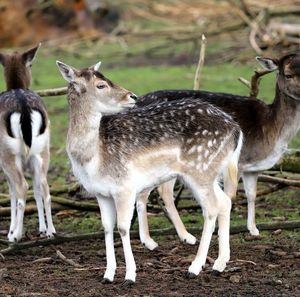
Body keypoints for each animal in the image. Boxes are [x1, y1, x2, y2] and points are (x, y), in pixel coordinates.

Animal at [0, 45, 55, 242]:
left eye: (30, 64)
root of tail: (23, 107)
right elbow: (37, 192)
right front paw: (42, 229)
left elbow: (11, 192)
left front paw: (10, 231)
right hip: (42, 152)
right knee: (44, 188)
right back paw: (51, 231)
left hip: (9, 155)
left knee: (22, 187)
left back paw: (16, 235)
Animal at [56, 59, 244, 282]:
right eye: (101, 85)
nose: (132, 96)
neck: (93, 158)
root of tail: (236, 130)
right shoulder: (100, 192)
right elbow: (107, 228)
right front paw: (108, 274)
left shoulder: (125, 187)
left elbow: (123, 228)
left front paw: (130, 275)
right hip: (210, 172)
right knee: (224, 202)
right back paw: (219, 263)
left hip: (200, 170)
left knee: (212, 208)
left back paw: (195, 266)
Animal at [134, 53, 300, 250]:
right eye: (288, 75)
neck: (272, 130)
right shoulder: (237, 162)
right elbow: (230, 197)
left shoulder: (252, 168)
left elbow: (251, 194)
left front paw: (253, 229)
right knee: (156, 190)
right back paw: (164, 239)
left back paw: (174, 237)